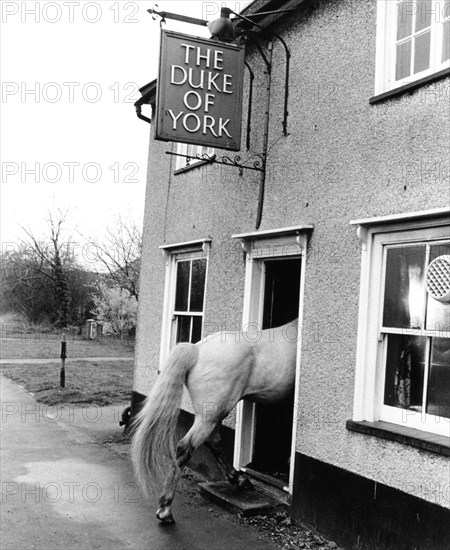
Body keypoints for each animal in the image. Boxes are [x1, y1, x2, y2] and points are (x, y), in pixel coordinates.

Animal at [131, 320, 298, 528]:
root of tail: (196, 349)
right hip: (212, 415)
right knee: (186, 447)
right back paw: (165, 509)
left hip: (211, 414)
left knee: (213, 442)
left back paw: (239, 479)